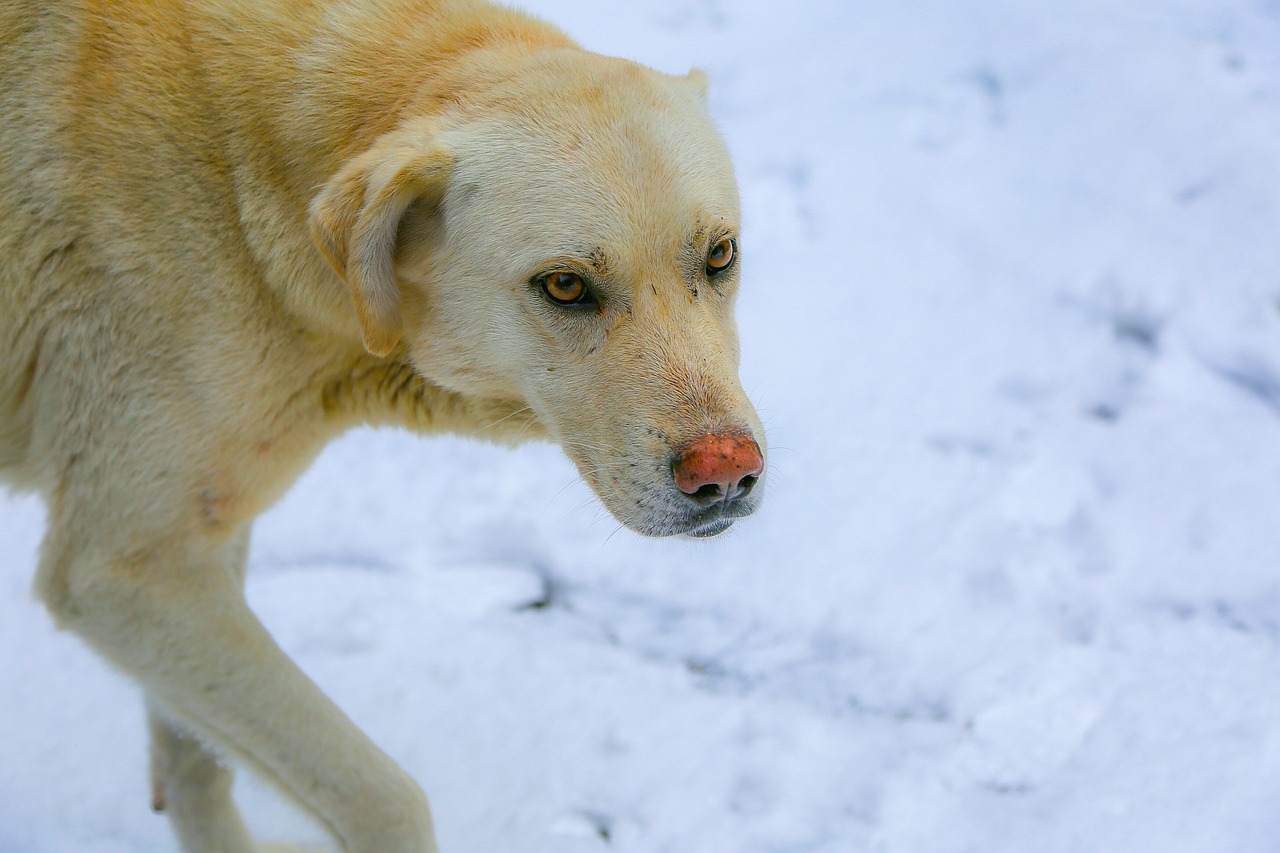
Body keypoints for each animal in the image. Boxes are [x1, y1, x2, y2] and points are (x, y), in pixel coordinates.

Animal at [0, 0, 762, 845]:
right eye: (565, 285)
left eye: (720, 255)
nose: (727, 471)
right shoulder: (118, 570)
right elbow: (386, 797)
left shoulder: (197, 537)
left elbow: (195, 762)